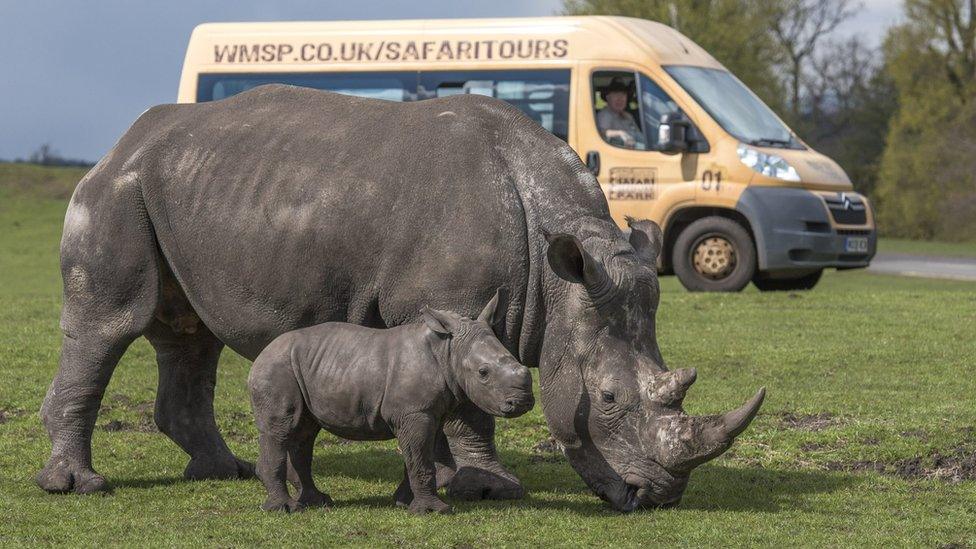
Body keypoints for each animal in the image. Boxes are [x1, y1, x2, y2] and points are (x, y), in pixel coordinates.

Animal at [246, 292, 532, 512]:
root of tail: (261, 354)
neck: (447, 350)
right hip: (277, 369)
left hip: (301, 368)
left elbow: (417, 457)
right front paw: (433, 510)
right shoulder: (415, 413)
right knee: (281, 429)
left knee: (304, 432)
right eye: (483, 373)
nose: (523, 402)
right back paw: (284, 509)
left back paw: (317, 502)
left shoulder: (428, 412)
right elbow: (421, 460)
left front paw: (404, 503)